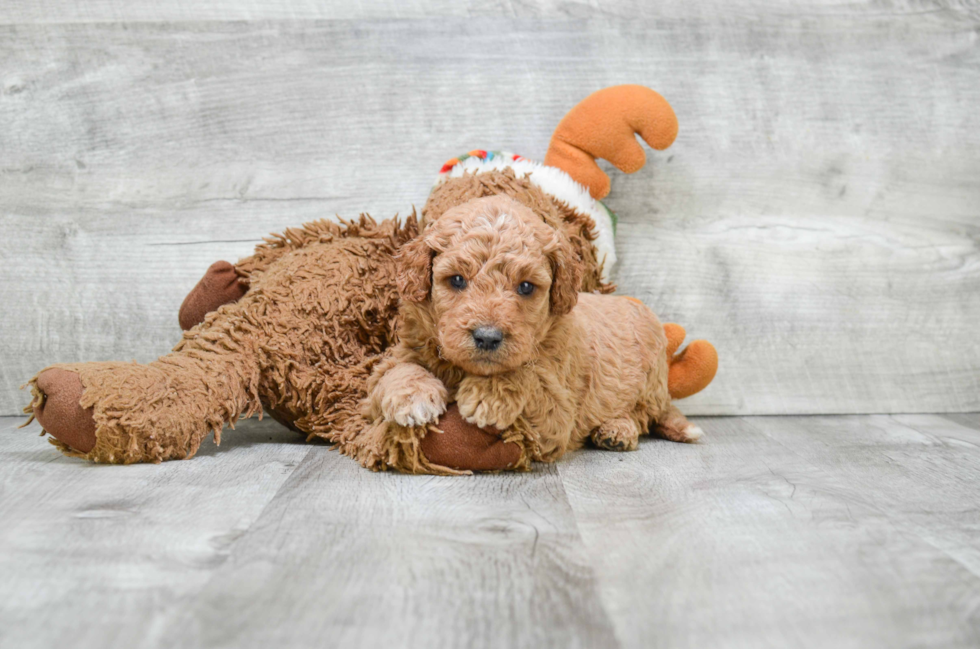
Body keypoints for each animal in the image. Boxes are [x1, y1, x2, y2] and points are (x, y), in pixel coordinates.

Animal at [366, 195, 696, 464]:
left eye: (525, 287)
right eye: (457, 280)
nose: (487, 337)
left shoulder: (557, 415)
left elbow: (528, 376)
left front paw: (487, 395)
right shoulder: (397, 357)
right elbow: (395, 370)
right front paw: (414, 396)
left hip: (649, 384)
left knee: (642, 416)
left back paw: (618, 430)